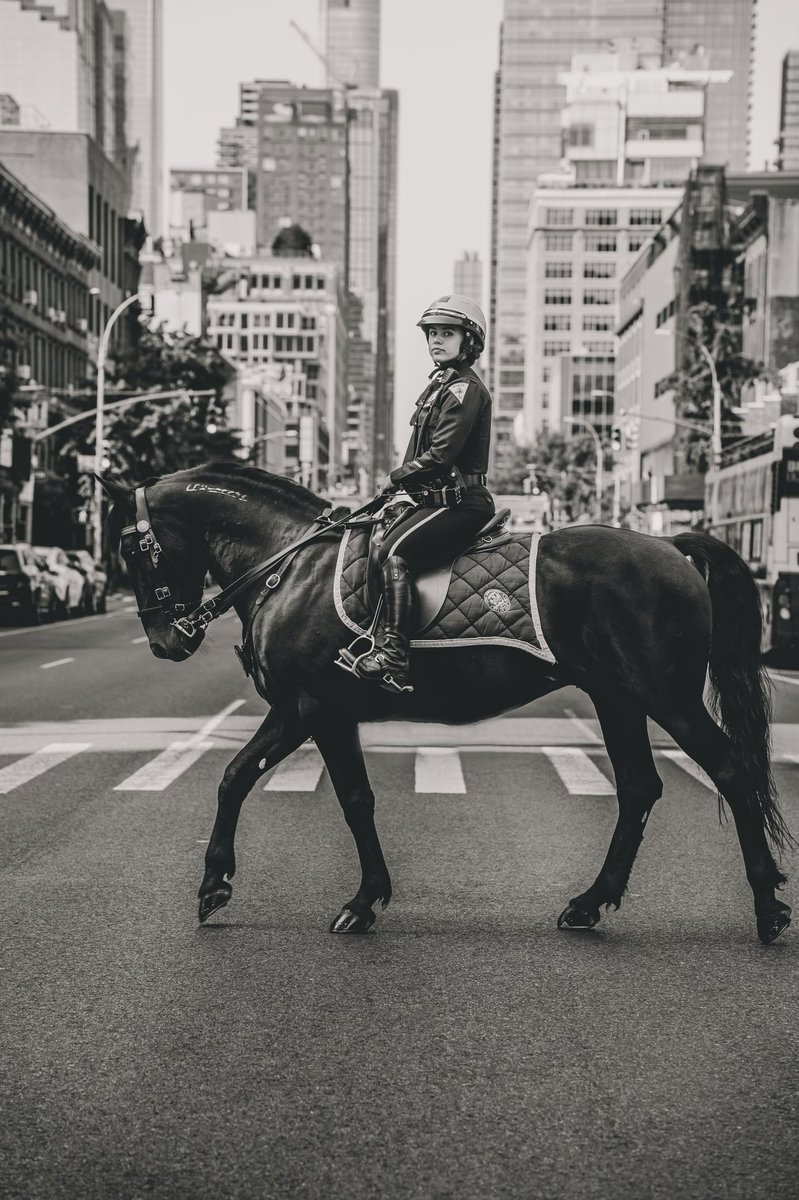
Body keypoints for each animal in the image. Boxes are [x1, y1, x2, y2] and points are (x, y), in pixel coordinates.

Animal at [99, 463, 791, 940]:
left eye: (131, 547)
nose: (164, 642)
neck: (287, 567)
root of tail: (672, 546)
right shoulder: (309, 711)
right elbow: (244, 777)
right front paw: (219, 884)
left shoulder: (314, 709)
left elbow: (339, 796)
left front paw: (357, 901)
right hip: (617, 696)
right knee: (639, 788)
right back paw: (590, 903)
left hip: (666, 696)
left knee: (731, 770)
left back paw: (768, 906)